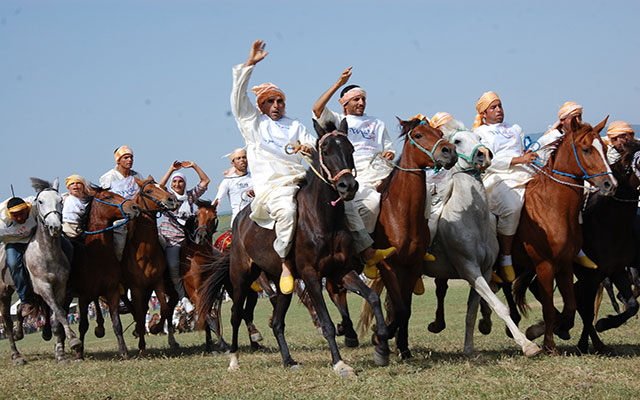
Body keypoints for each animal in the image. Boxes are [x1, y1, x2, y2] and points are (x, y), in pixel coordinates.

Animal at [67, 187, 140, 360]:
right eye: (108, 197)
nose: (135, 207)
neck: (96, 255)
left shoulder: (112, 291)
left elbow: (117, 324)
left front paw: (123, 351)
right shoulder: (83, 297)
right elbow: (83, 325)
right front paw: (79, 353)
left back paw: (100, 327)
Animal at [121, 176, 178, 355]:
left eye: (164, 187)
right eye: (148, 191)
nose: (172, 199)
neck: (144, 251)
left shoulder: (156, 282)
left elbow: (164, 308)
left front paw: (155, 328)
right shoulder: (136, 287)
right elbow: (140, 314)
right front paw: (142, 348)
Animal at [197, 119, 391, 376]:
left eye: (350, 149)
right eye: (325, 150)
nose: (347, 186)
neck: (323, 220)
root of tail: (239, 221)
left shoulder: (341, 271)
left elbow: (372, 297)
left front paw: (382, 346)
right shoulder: (311, 275)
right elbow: (327, 323)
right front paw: (340, 363)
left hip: (281, 283)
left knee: (277, 322)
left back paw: (288, 360)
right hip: (241, 278)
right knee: (236, 315)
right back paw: (234, 359)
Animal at [512, 116, 616, 354]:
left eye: (605, 148)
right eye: (586, 149)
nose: (610, 184)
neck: (551, 206)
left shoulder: (565, 263)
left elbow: (570, 306)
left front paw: (541, 330)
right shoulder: (544, 265)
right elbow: (549, 308)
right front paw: (548, 344)